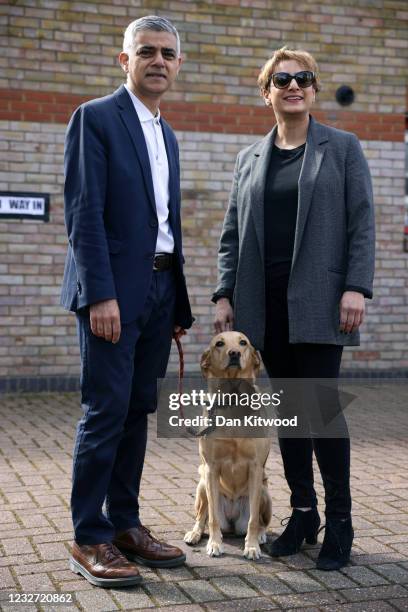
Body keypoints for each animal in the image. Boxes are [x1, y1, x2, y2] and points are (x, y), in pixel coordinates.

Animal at [184, 332, 270, 560]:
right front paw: (214, 544)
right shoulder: (211, 468)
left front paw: (252, 547)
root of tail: (231, 523)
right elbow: (212, 517)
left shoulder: (256, 467)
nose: (234, 353)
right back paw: (195, 533)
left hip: (264, 491)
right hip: (202, 485)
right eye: (219, 343)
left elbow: (253, 521)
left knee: (260, 521)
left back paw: (261, 536)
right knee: (202, 517)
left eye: (243, 343)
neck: (232, 402)